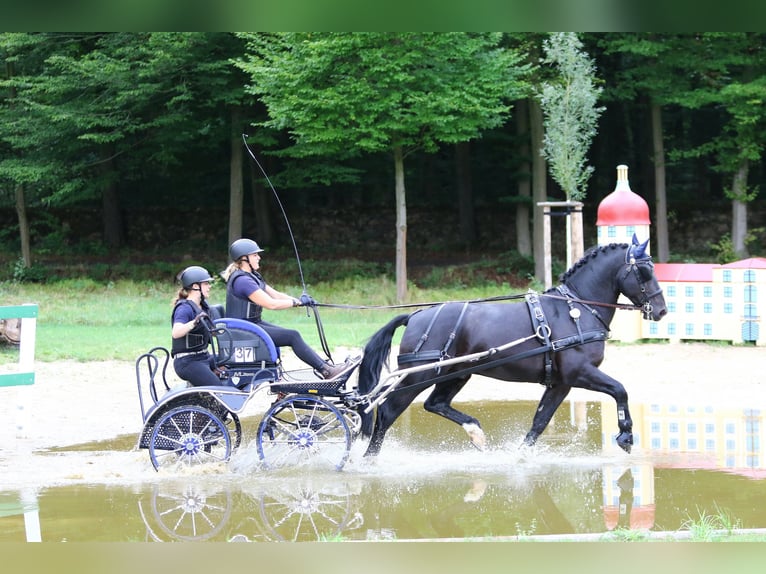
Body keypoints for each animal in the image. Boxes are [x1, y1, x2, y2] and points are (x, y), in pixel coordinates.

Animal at [356, 236, 667, 458]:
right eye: (644, 271)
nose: (661, 310)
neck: (575, 310)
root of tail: (416, 316)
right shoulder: (580, 373)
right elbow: (620, 390)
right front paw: (625, 435)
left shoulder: (560, 383)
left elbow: (540, 421)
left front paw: (520, 457)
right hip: (419, 375)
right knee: (387, 412)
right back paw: (368, 462)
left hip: (456, 373)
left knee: (435, 403)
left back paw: (476, 433)